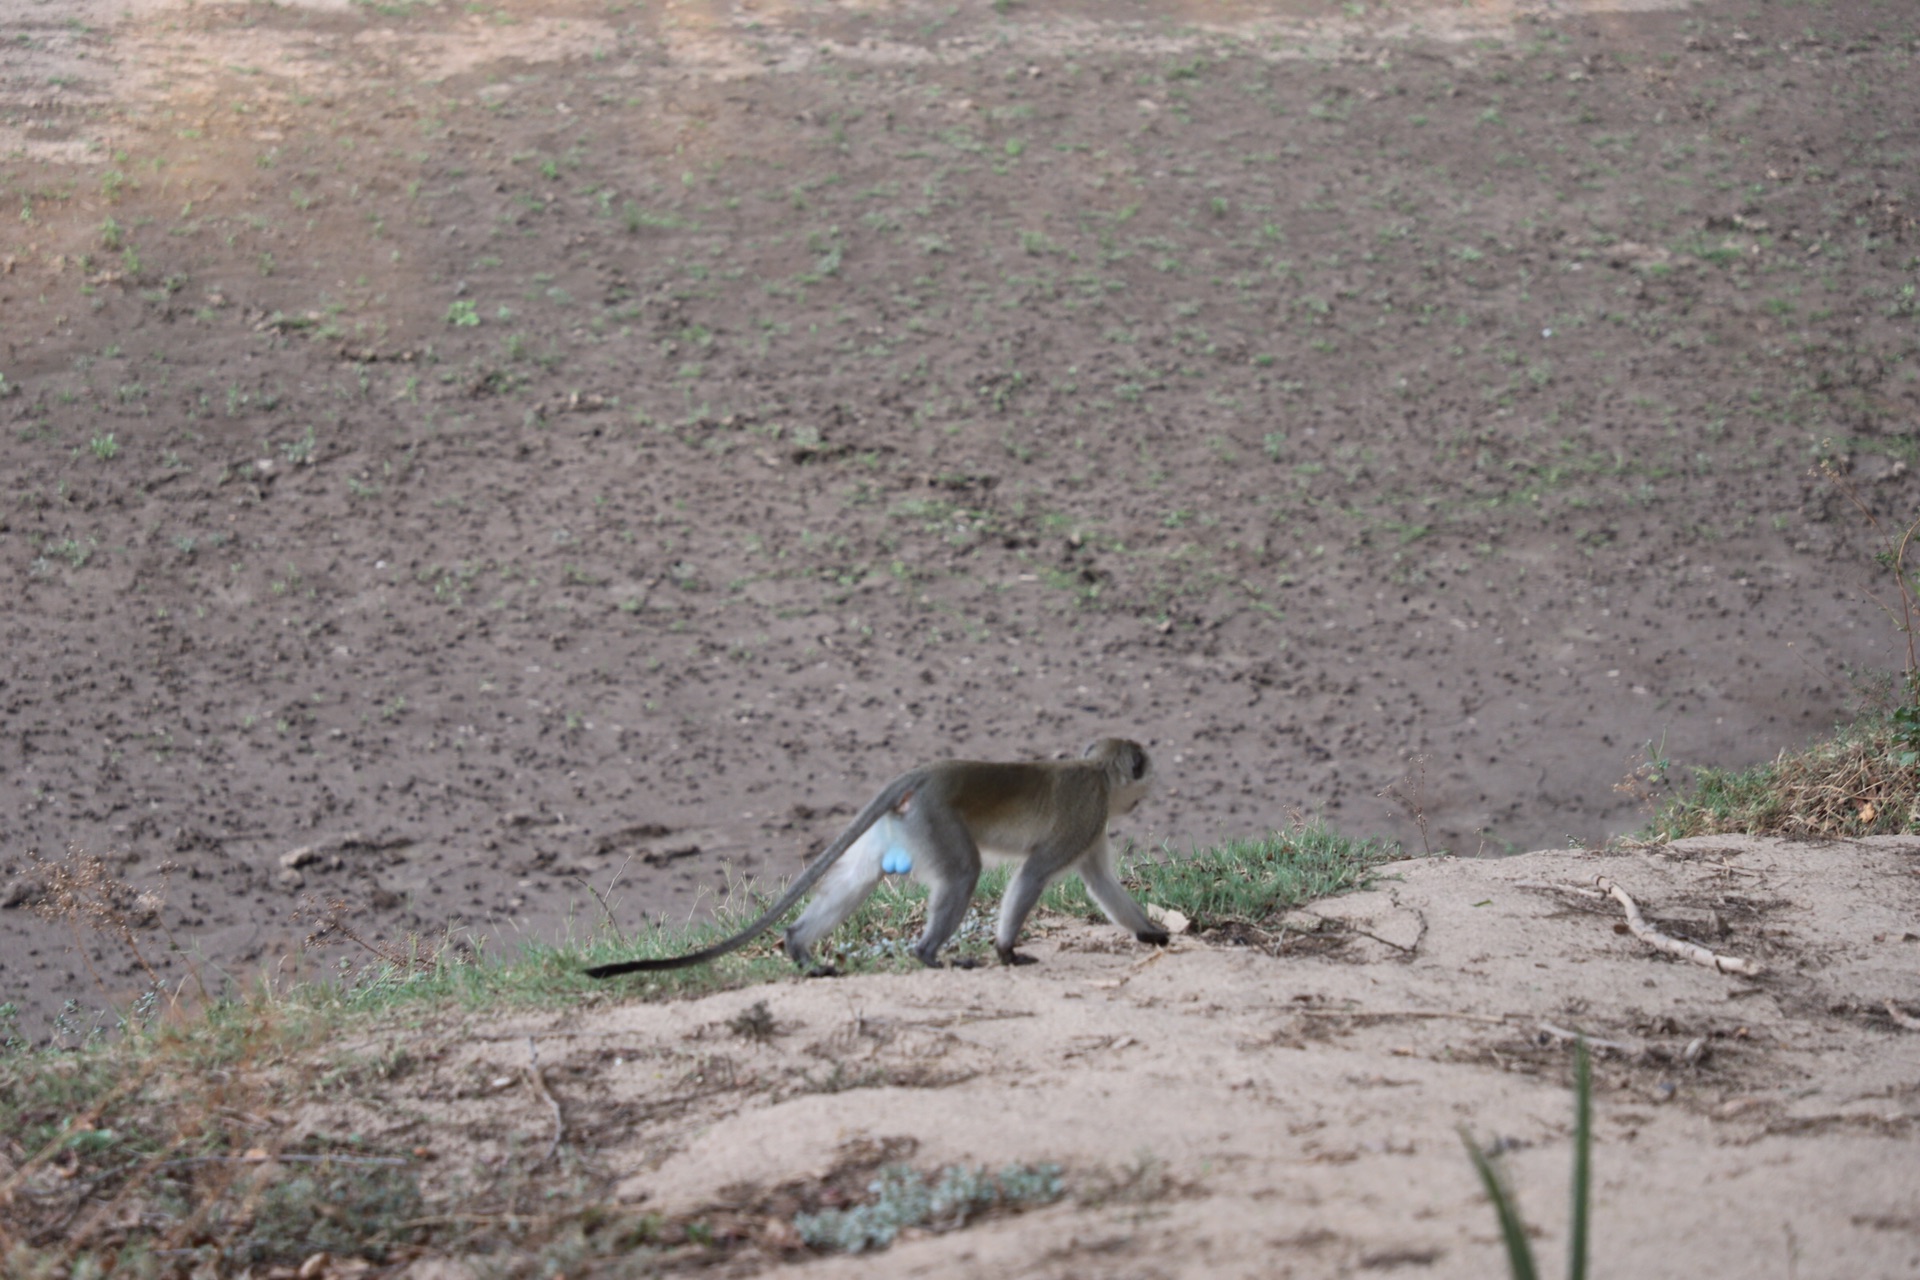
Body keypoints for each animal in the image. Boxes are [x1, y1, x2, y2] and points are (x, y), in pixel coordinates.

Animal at [583, 736, 1159, 974]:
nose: (1144, 794)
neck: (1097, 775)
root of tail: (921, 775)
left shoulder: (1091, 830)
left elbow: (1101, 883)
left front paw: (1153, 934)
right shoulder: (1086, 815)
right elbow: (1036, 872)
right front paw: (1006, 950)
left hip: (903, 825)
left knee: (856, 880)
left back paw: (799, 948)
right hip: (934, 818)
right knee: (963, 873)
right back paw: (927, 955)